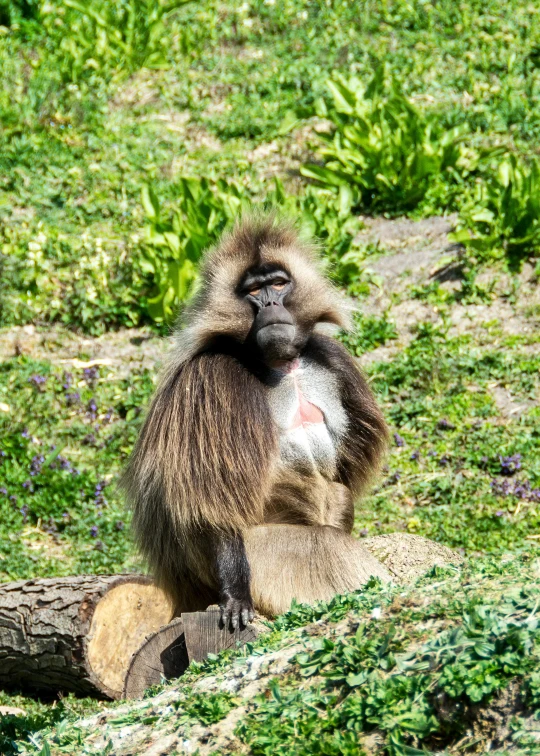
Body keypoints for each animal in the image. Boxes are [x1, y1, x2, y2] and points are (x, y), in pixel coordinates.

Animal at [122, 216, 390, 628]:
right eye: (253, 290)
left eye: (278, 284)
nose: (270, 304)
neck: (281, 365)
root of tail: (185, 596)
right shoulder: (213, 382)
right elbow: (211, 499)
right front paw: (236, 597)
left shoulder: (330, 358)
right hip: (265, 558)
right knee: (326, 548)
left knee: (339, 496)